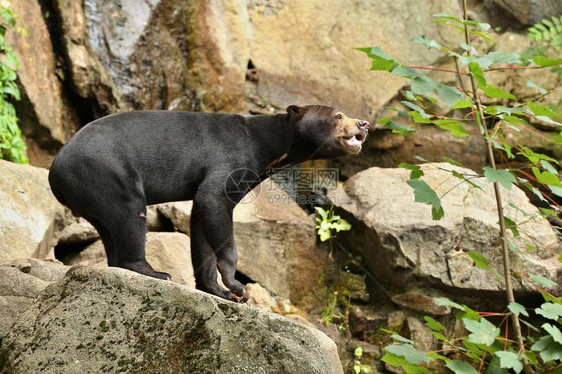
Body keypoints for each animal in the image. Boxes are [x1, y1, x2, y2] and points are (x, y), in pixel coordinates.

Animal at [49, 104, 368, 300]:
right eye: (339, 116)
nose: (364, 124)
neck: (273, 148)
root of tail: (55, 172)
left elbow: (201, 227)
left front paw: (217, 290)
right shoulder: (231, 159)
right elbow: (213, 201)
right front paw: (237, 286)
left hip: (95, 193)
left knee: (109, 229)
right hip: (109, 174)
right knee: (130, 216)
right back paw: (155, 272)